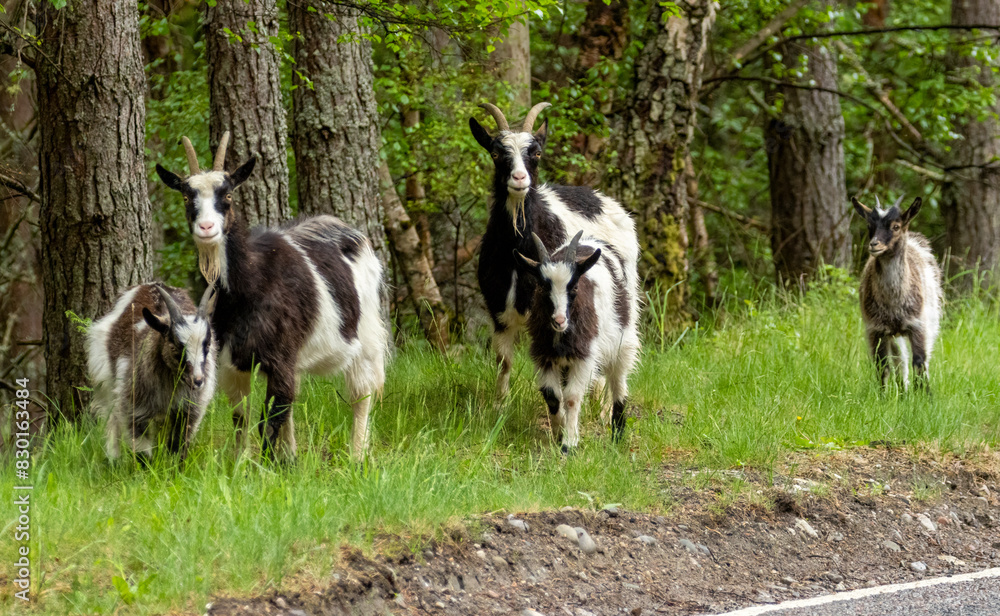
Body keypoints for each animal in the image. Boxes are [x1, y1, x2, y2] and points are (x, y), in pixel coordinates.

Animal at [88, 283, 217, 462]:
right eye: (175, 346)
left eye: (208, 345)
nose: (197, 380)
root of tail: (149, 284)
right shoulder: (135, 408)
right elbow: (142, 452)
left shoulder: (188, 411)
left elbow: (178, 446)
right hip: (105, 377)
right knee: (112, 417)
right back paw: (114, 458)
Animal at [155, 133, 388, 460]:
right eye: (187, 197)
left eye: (228, 195)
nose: (206, 227)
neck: (250, 287)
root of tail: (343, 228)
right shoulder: (233, 360)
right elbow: (243, 415)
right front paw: (242, 462)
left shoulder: (280, 354)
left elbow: (271, 416)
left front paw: (267, 464)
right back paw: (292, 455)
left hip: (366, 332)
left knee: (361, 393)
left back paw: (356, 455)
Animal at [469, 102, 639, 401]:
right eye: (496, 153)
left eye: (536, 153)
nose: (519, 178)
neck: (517, 247)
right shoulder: (499, 311)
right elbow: (504, 362)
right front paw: (499, 405)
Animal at [513, 231, 641, 450]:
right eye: (543, 287)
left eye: (573, 287)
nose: (559, 320)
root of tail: (592, 241)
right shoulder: (545, 356)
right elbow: (553, 396)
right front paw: (559, 432)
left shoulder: (585, 356)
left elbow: (572, 397)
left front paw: (569, 443)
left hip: (623, 341)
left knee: (619, 382)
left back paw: (617, 434)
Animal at [852, 195, 943, 392]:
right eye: (869, 225)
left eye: (895, 226)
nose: (874, 244)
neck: (893, 302)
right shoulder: (875, 329)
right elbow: (883, 366)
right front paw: (882, 396)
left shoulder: (918, 325)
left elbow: (920, 361)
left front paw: (925, 395)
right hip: (893, 335)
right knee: (900, 361)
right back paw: (902, 391)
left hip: (930, 318)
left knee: (920, 358)